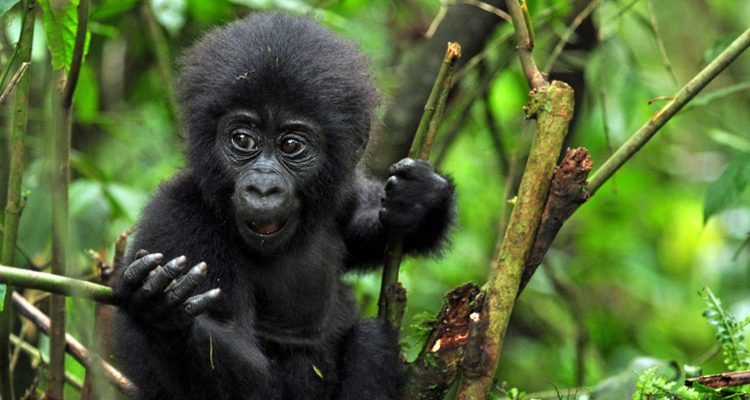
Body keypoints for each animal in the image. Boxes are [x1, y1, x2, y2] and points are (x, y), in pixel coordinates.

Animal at [111, 12, 452, 400]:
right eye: (243, 139)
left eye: (291, 145)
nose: (263, 187)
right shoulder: (178, 221)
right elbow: (247, 372)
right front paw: (163, 319)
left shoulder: (340, 186)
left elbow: (363, 231)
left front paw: (422, 198)